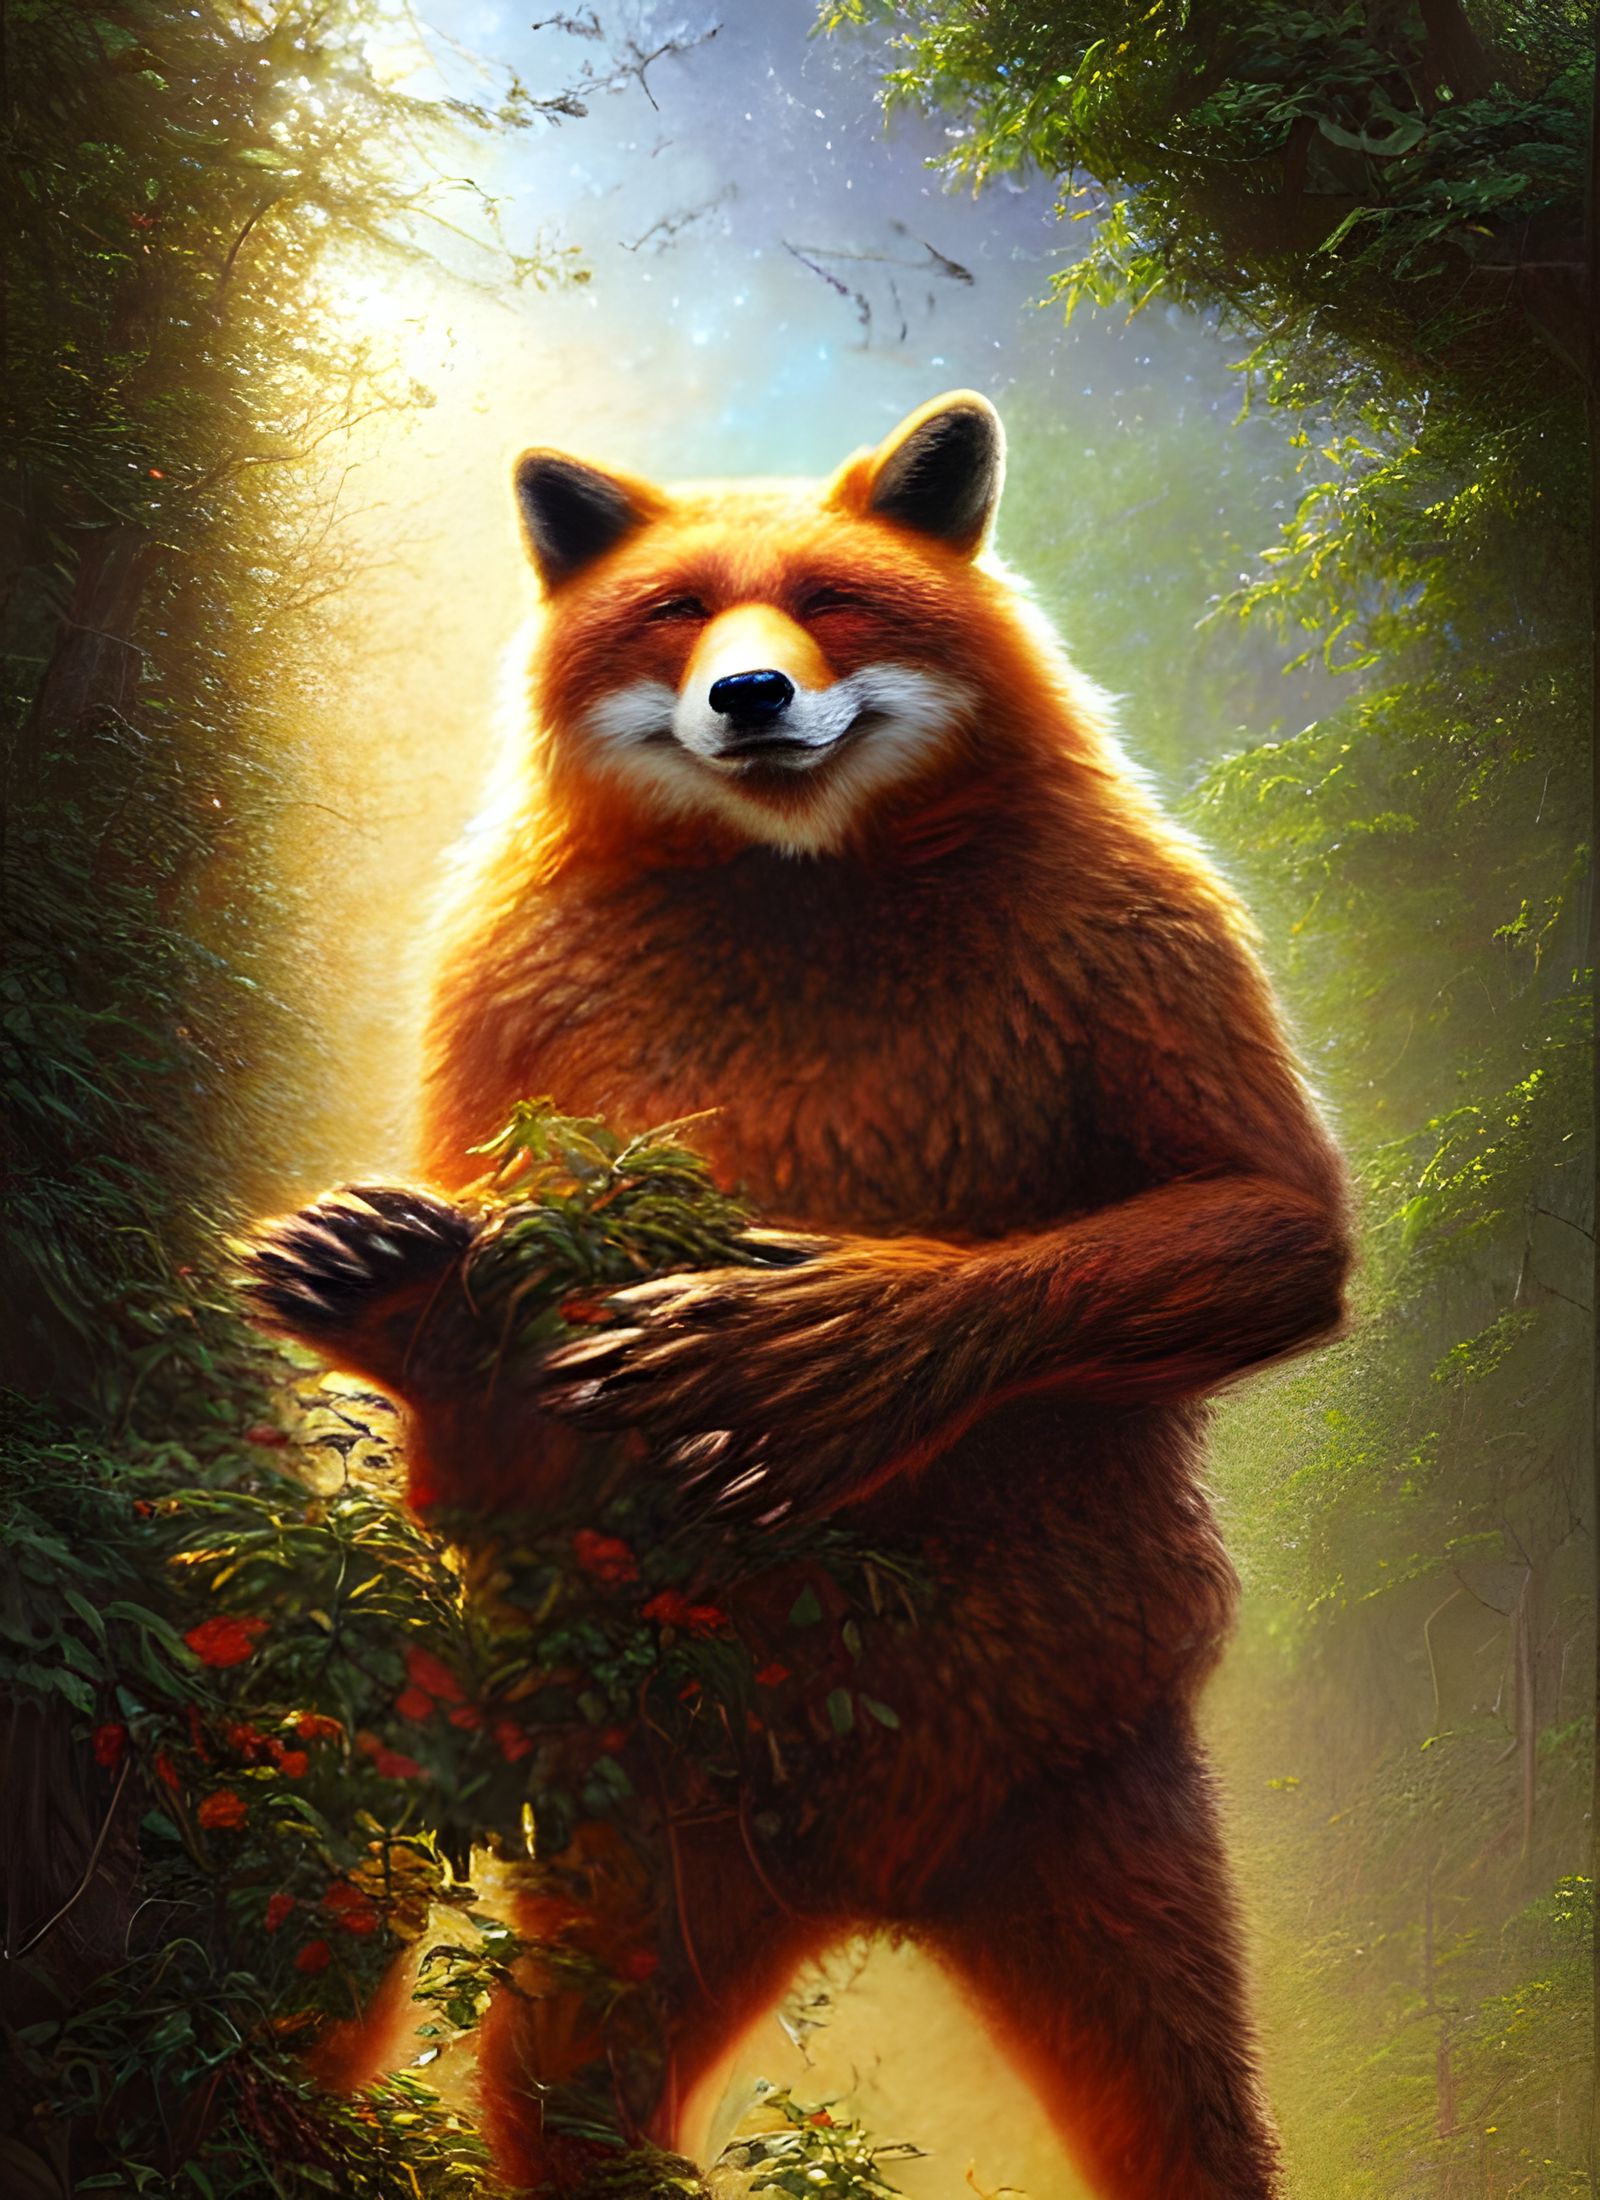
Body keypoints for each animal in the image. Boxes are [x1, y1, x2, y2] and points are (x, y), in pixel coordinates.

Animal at [245, 391, 1351, 2198]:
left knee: (1189, 2113)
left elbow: (1266, 1218)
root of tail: (870, 1881)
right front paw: (409, 1297)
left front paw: (816, 1356)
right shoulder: (496, 1023)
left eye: (834, 601)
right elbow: (494, 1406)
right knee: (520, 2048)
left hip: (1094, 1792)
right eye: (676, 612)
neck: (795, 892)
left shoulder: (1146, 948)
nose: (750, 697)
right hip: (617, 1822)